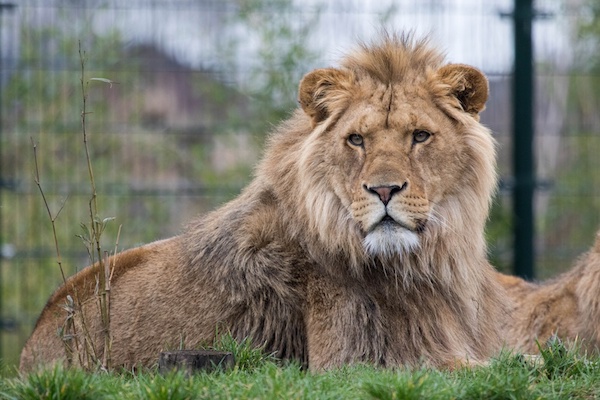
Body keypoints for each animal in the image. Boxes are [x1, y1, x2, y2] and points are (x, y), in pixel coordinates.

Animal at [22, 33, 510, 372]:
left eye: (420, 136)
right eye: (356, 139)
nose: (384, 191)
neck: (417, 261)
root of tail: (32, 339)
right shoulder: (351, 362)